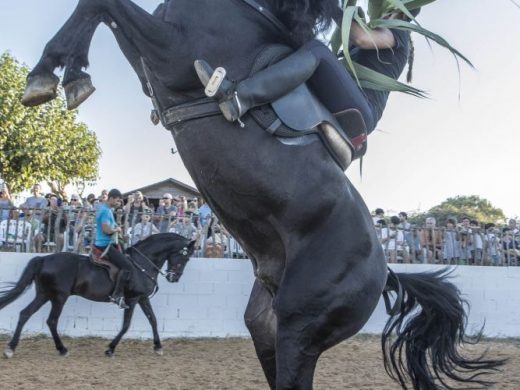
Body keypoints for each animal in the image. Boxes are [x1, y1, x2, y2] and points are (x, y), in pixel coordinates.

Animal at [0, 233, 195, 358]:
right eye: (185, 257)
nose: (174, 278)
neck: (142, 264)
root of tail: (43, 258)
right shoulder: (131, 300)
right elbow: (126, 325)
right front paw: (110, 349)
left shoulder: (142, 298)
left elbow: (153, 320)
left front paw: (158, 347)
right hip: (59, 297)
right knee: (51, 321)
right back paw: (62, 349)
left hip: (44, 294)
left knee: (25, 314)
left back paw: (11, 348)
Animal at [21, 1, 504, 388]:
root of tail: (385, 270)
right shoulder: (149, 66)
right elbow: (99, 10)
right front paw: (63, 76)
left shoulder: (170, 54)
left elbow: (104, 4)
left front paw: (51, 76)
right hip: (266, 327)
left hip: (301, 329)